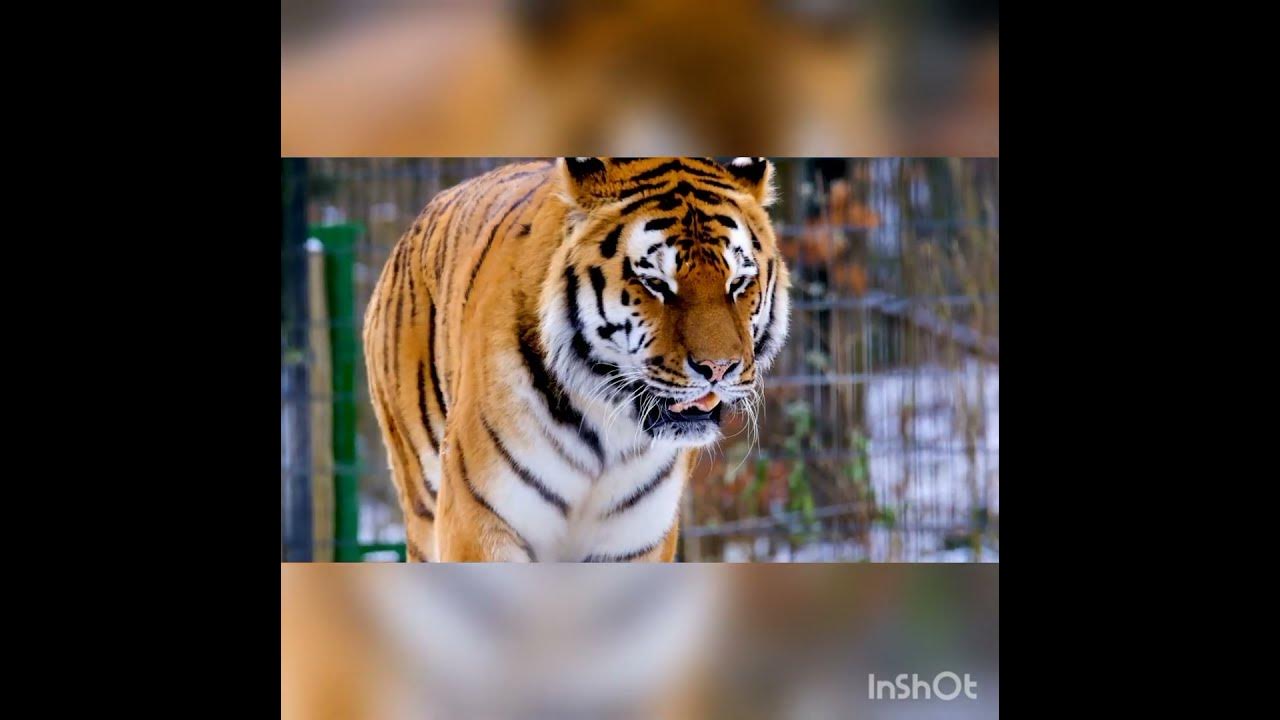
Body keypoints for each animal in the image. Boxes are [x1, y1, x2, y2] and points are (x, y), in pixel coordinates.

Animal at [362, 157, 791, 562]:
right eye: (655, 284)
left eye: (738, 283)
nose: (718, 368)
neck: (608, 430)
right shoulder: (481, 520)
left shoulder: (636, 540)